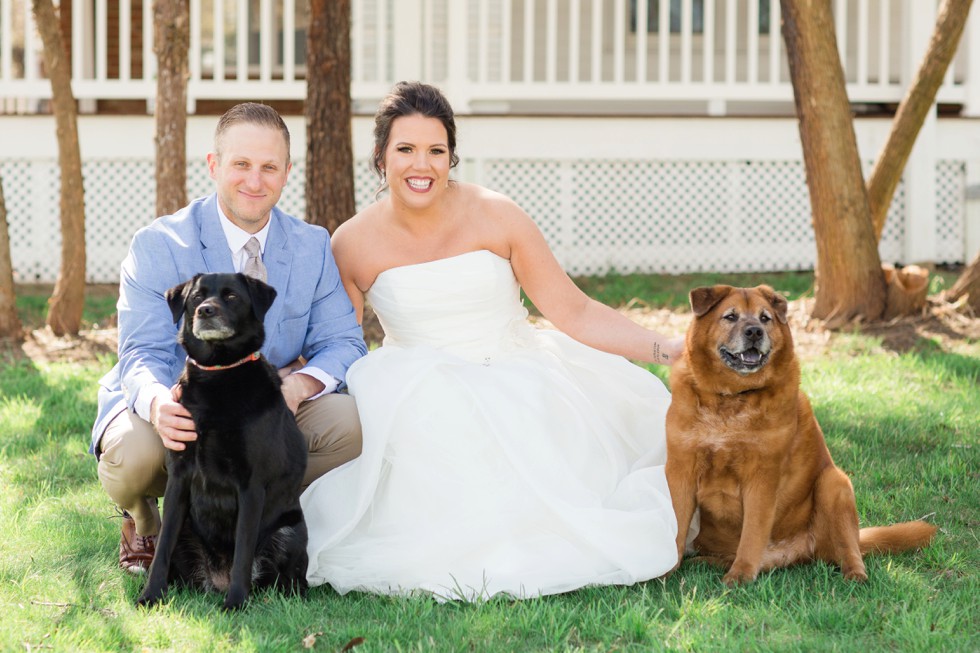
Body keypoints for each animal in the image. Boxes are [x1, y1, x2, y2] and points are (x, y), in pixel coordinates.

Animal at [136, 272, 308, 608]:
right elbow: (161, 550)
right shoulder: (179, 478)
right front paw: (151, 594)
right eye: (195, 297)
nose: (205, 311)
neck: (218, 375)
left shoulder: (251, 486)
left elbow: (242, 551)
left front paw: (236, 602)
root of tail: (215, 581)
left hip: (291, 529)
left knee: (291, 581)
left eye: (231, 296)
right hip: (187, 529)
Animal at [668, 282, 936, 584]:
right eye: (730, 316)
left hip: (834, 484)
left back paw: (855, 576)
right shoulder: (681, 470)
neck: (732, 399)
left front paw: (740, 576)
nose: (754, 332)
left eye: (765, 318)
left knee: (849, 549)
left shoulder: (762, 477)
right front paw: (665, 570)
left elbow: (752, 534)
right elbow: (676, 525)